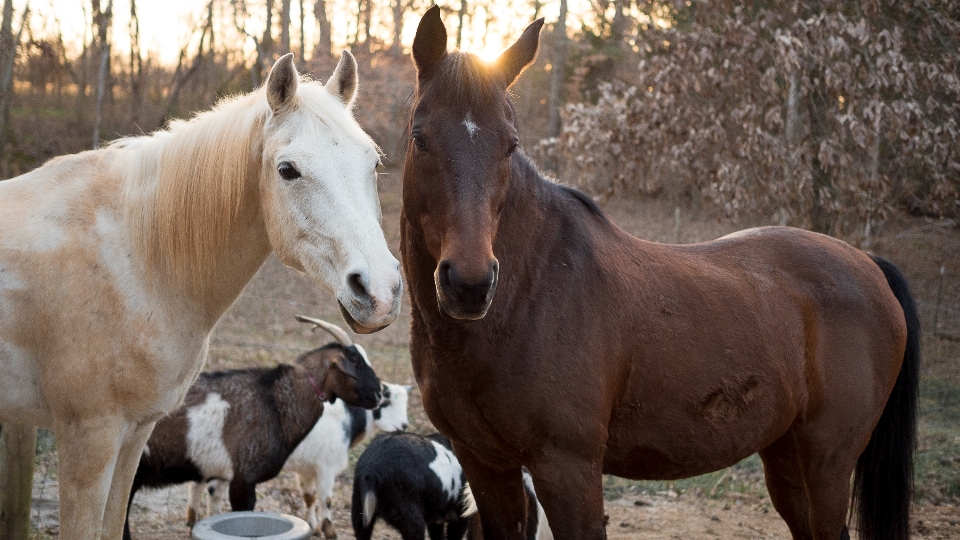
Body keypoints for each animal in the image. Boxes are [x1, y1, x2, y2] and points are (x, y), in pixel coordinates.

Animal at [402, 5, 920, 540]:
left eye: (510, 145)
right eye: (420, 138)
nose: (469, 285)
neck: (529, 294)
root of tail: (870, 265)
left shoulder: (568, 469)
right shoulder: (485, 464)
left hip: (827, 464)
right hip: (786, 457)